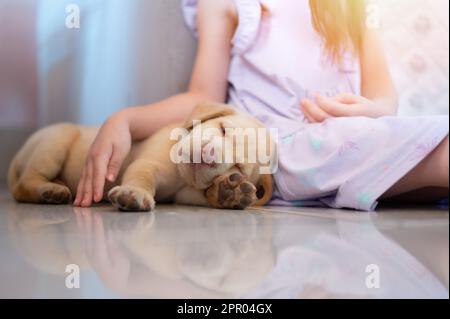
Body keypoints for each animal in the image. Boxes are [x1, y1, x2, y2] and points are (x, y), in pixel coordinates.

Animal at [8, 103, 276, 212]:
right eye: (222, 129)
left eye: (238, 167)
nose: (209, 155)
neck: (181, 176)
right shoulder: (148, 164)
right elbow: (141, 178)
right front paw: (133, 193)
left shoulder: (185, 193)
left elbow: (203, 194)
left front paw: (228, 192)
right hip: (57, 140)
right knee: (23, 184)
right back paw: (49, 191)